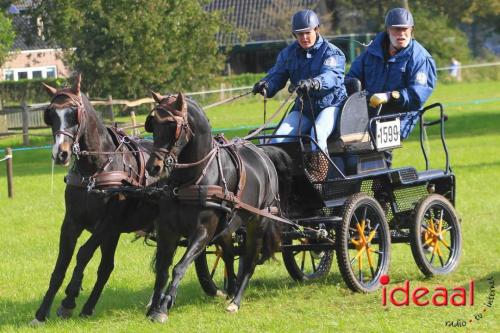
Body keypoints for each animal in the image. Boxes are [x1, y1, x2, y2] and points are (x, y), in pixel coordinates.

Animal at [31, 75, 158, 324]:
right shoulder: (72, 223)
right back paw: (89, 307)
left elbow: (83, 254)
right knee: (107, 267)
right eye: (50, 114)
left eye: (74, 113)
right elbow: (61, 266)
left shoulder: (108, 223)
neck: (96, 169)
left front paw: (69, 299)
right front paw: (41, 313)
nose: (61, 154)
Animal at [143, 92, 288, 320]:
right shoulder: (168, 230)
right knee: (228, 255)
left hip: (257, 223)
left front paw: (165, 305)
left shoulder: (203, 231)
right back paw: (231, 290)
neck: (189, 181)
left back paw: (235, 301)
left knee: (249, 261)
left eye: (174, 126)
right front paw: (154, 307)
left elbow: (179, 267)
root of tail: (263, 154)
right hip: (228, 226)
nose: (153, 167)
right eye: (153, 125)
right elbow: (162, 270)